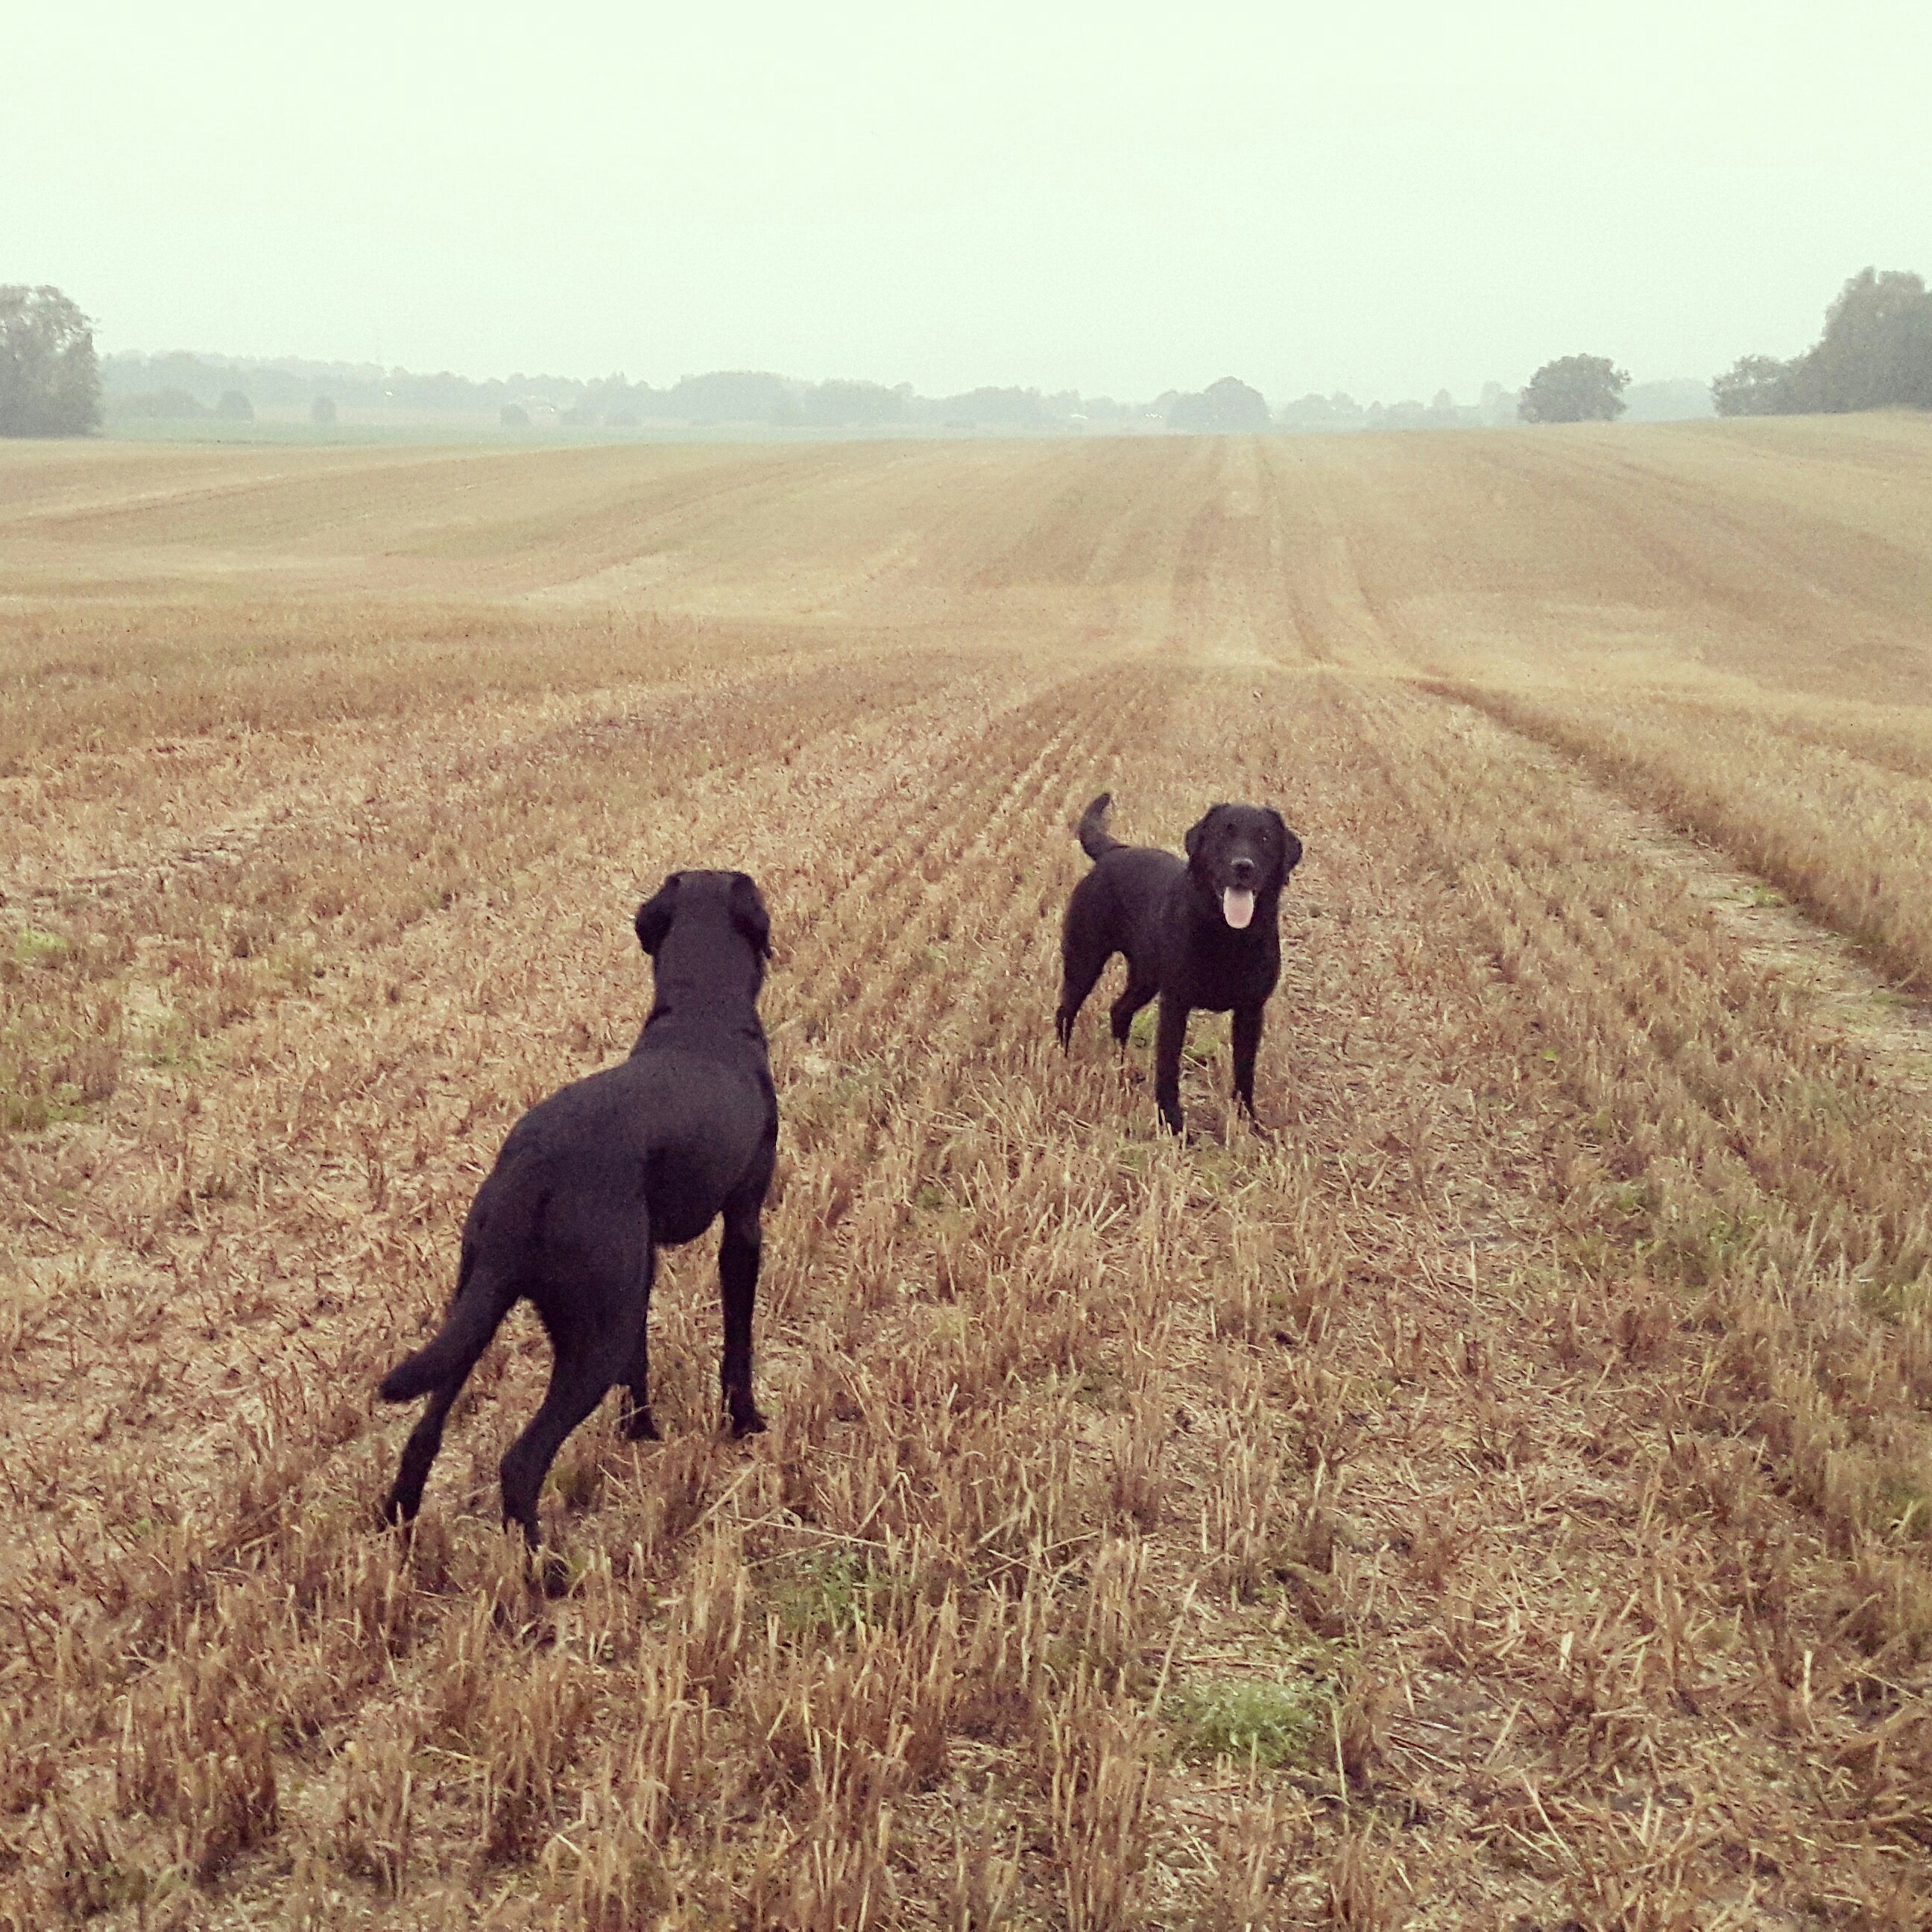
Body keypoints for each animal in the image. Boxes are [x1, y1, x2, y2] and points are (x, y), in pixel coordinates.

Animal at [378, 870, 777, 1576]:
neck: (701, 1014)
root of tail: (530, 1171)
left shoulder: (640, 1262)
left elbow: (642, 1360)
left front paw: (640, 1431)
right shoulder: (743, 1221)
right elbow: (738, 1340)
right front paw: (743, 1421)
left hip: (477, 1302)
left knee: (425, 1428)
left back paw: (399, 1527)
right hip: (591, 1335)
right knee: (520, 1462)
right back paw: (550, 1575)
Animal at [1056, 794, 1301, 1136]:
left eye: (1265, 838)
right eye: (1223, 834)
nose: (1243, 866)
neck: (1228, 937)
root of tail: (1115, 851)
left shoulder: (1251, 1011)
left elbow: (1244, 1071)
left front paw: (1249, 1123)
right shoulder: (1175, 1005)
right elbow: (1168, 1068)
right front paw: (1173, 1122)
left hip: (1145, 977)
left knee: (1119, 1011)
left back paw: (1121, 1065)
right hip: (1084, 961)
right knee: (1066, 1010)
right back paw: (1063, 1060)